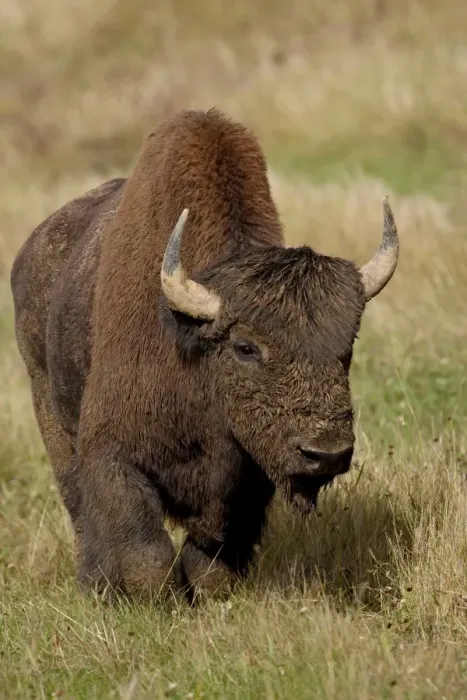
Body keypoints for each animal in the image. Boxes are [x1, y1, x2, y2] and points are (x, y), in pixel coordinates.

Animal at [10, 108, 399, 600]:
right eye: (245, 347)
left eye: (347, 347)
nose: (326, 454)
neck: (194, 350)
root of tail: (30, 252)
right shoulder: (113, 454)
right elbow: (145, 553)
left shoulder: (247, 482)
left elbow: (213, 558)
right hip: (49, 408)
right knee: (78, 506)